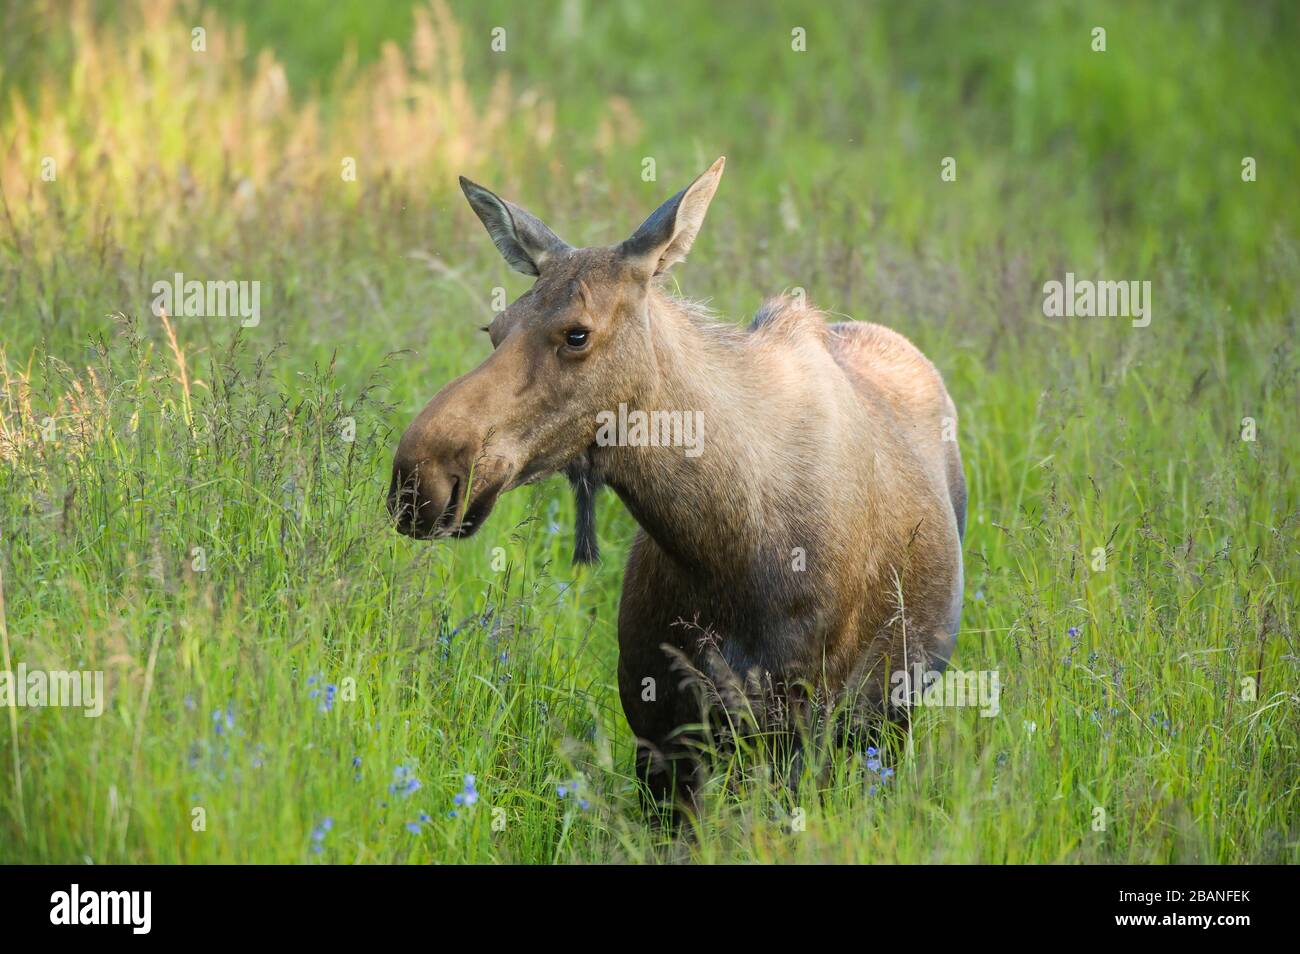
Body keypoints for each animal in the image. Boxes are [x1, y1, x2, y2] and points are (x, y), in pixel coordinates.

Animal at [387, 160, 967, 811]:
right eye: (495, 327)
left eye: (577, 333)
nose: (420, 475)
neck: (719, 550)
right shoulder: (657, 727)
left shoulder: (795, 730)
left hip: (889, 720)